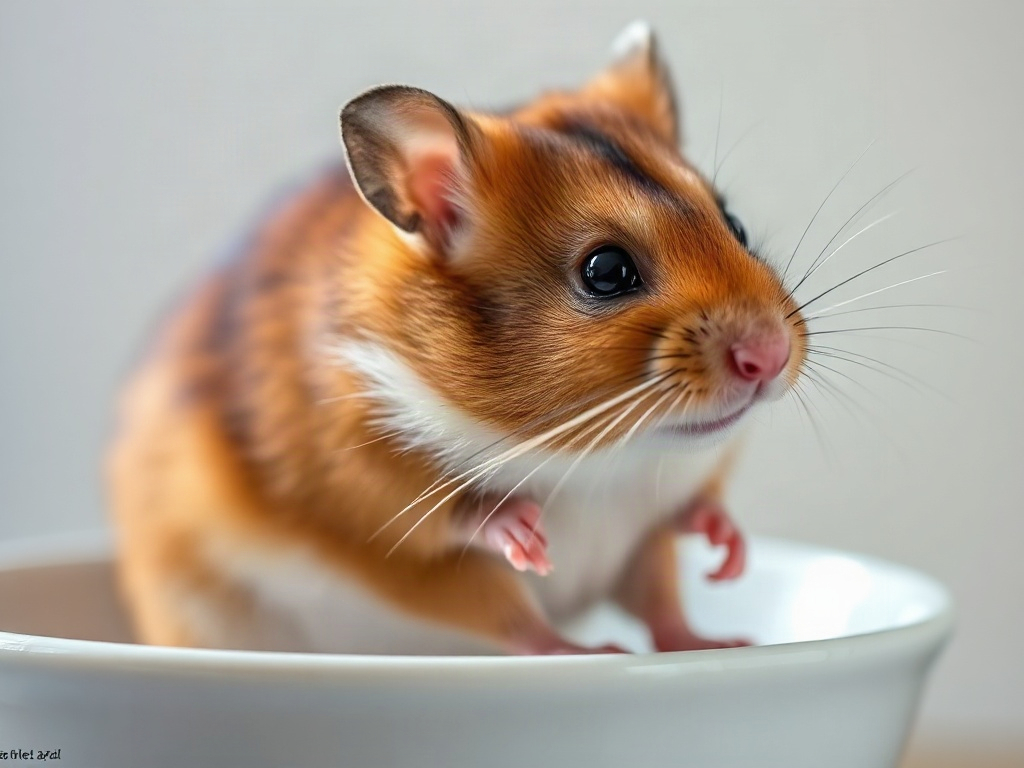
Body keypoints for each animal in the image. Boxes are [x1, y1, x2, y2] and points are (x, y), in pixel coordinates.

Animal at [107, 21, 806, 655]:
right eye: (606, 271)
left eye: (736, 224)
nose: (769, 357)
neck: (601, 461)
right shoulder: (373, 503)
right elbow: (490, 571)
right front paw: (530, 539)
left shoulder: (643, 529)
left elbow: (662, 585)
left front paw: (726, 559)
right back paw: (594, 651)